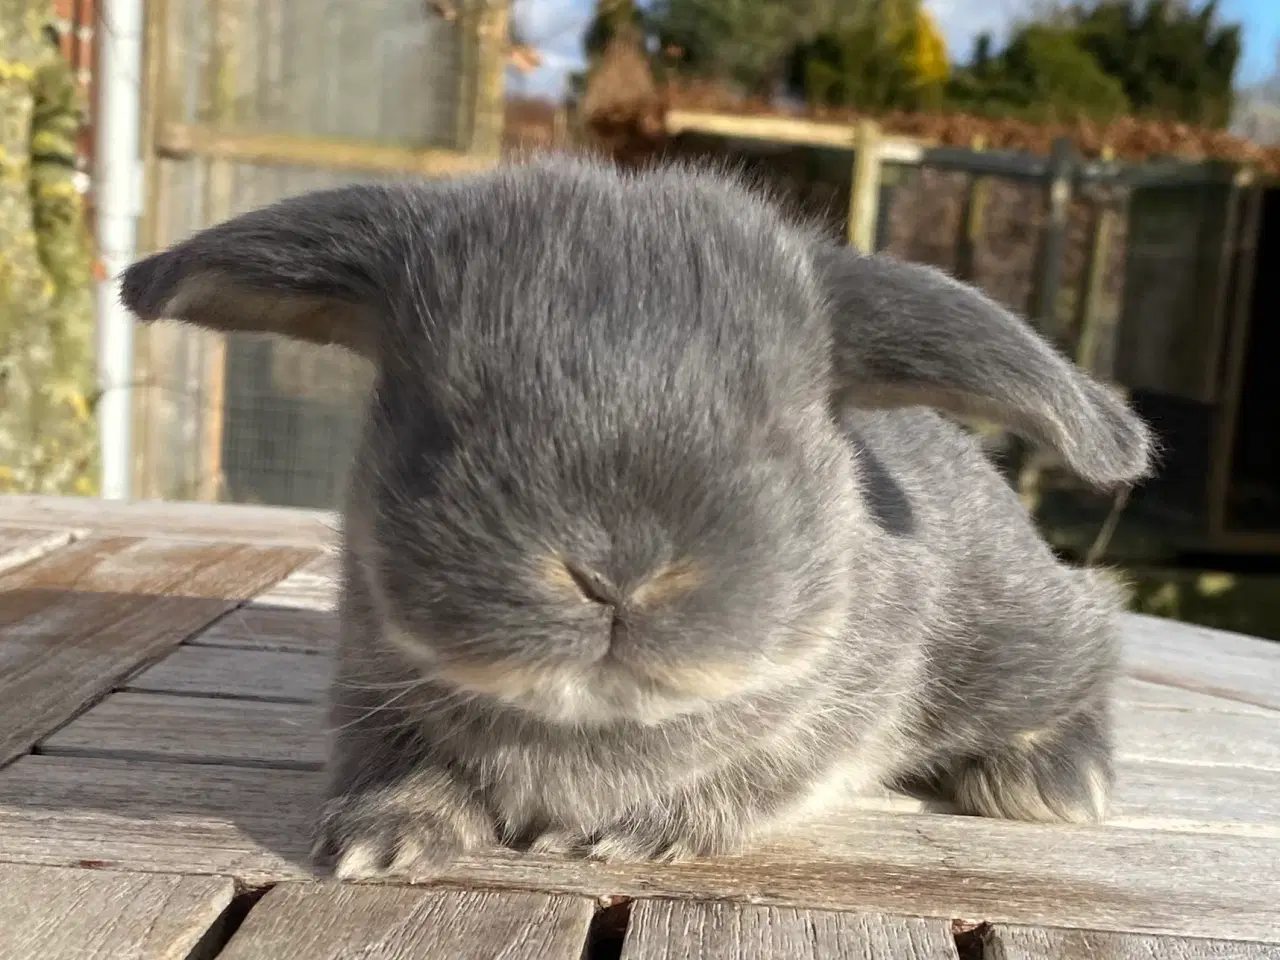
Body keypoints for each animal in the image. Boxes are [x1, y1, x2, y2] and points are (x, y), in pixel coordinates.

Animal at [124, 156, 1157, 880]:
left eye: (772, 435)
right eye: (441, 419)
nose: (613, 577)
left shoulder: (822, 722)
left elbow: (744, 782)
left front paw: (625, 839)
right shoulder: (368, 685)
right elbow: (392, 762)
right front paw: (386, 841)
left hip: (1012, 642)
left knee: (1091, 638)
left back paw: (1055, 786)